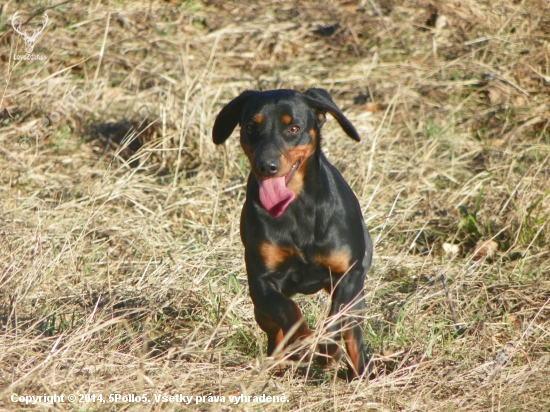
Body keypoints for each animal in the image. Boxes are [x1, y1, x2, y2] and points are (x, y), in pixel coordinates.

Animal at [212, 87, 376, 380]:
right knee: (274, 330)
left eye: (294, 128)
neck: (297, 208)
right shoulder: (261, 283)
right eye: (251, 126)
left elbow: (336, 318)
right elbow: (289, 311)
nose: (266, 166)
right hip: (260, 310)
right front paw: (303, 343)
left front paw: (327, 350)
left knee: (352, 331)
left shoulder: (349, 274)